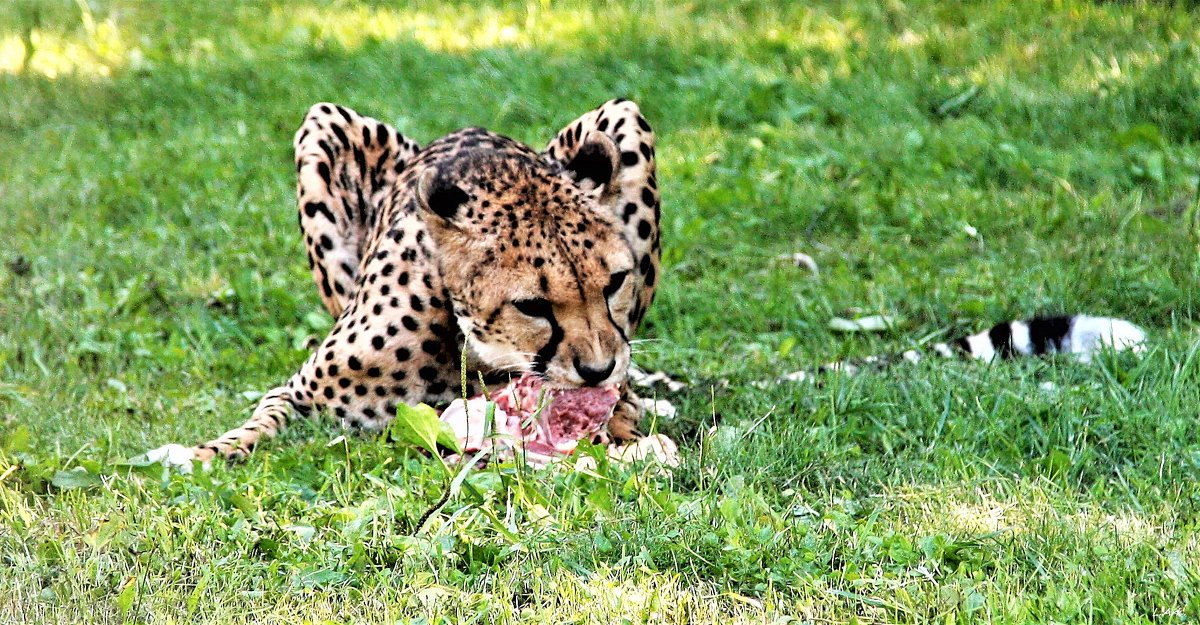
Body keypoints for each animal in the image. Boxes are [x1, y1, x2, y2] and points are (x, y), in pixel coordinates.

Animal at [147, 98, 667, 467]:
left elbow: (625, 410)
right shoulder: (301, 395)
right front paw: (192, 454)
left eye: (615, 282)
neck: (480, 351)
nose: (598, 371)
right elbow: (255, 425)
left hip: (625, 115)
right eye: (533, 305)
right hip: (322, 124)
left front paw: (628, 435)